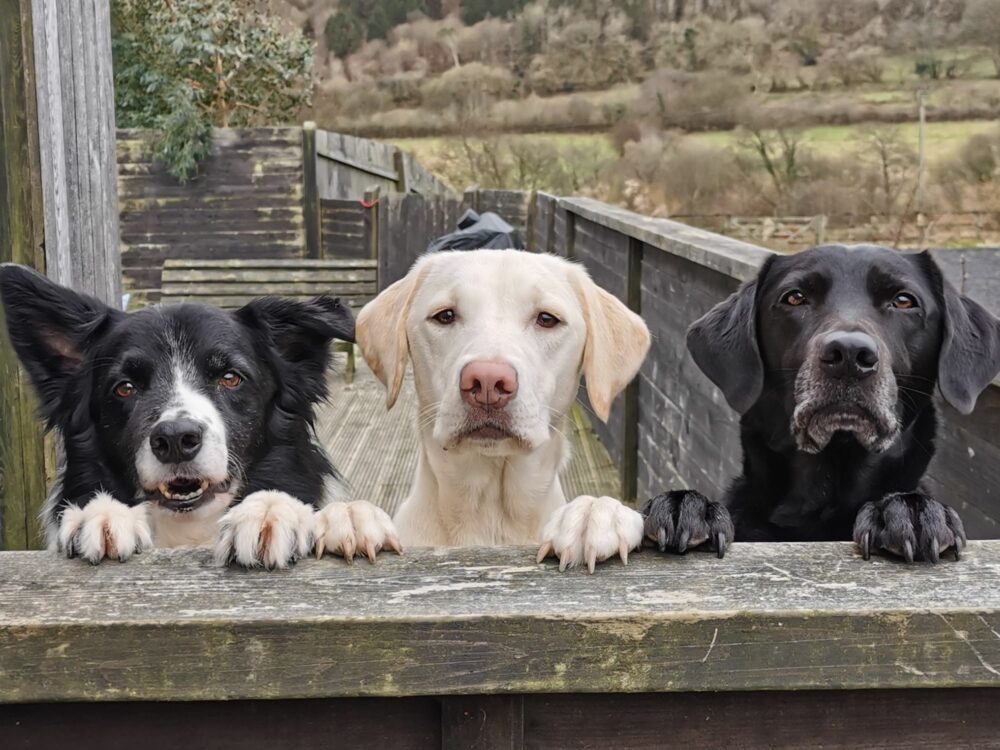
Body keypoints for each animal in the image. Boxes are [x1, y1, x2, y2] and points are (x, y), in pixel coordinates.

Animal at [0, 268, 398, 568]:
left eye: (230, 377)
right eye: (124, 387)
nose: (176, 439)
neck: (189, 530)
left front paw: (291, 513)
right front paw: (102, 514)